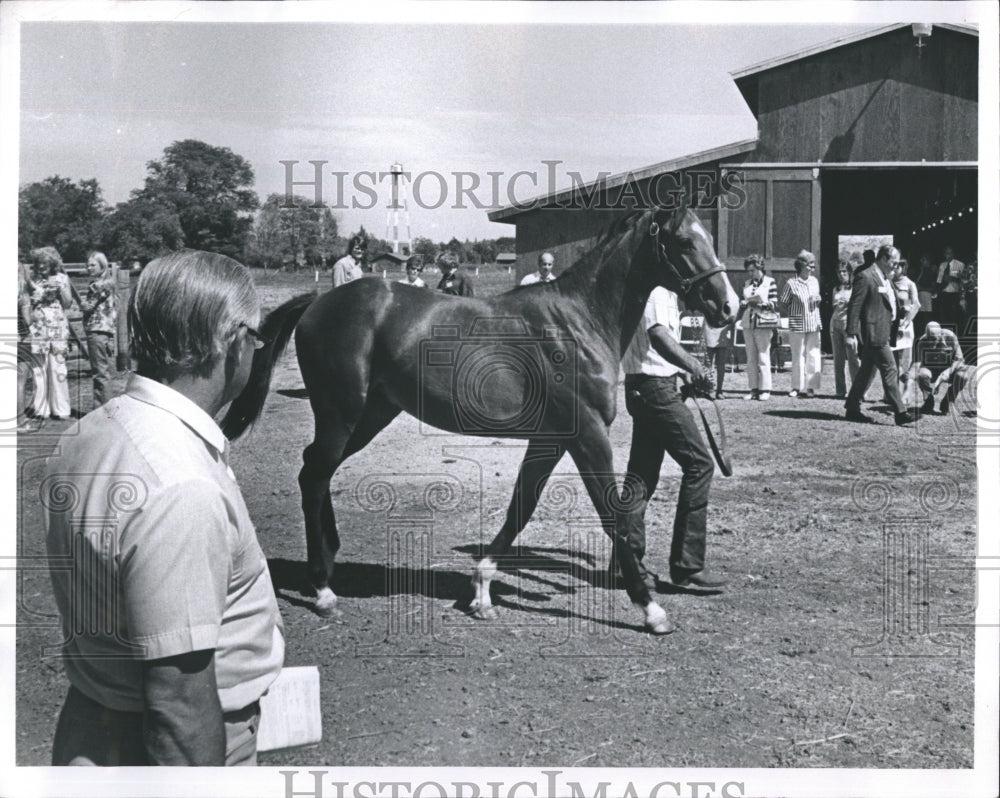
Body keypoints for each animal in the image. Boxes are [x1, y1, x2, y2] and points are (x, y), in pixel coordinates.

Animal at [223, 206, 740, 636]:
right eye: (684, 242)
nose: (728, 307)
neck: (578, 321)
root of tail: (317, 303)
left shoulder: (552, 439)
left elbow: (520, 506)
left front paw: (482, 591)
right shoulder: (589, 434)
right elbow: (611, 512)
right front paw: (651, 609)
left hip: (370, 415)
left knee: (317, 471)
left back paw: (329, 563)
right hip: (342, 414)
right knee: (313, 474)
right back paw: (322, 589)